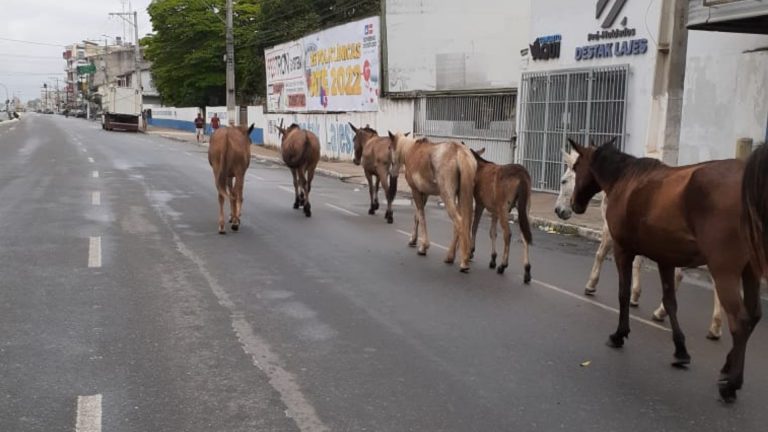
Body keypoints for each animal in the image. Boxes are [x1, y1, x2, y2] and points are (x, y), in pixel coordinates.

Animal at [388, 133, 476, 272]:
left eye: (389, 147)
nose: (392, 172)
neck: (410, 150)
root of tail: (459, 152)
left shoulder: (415, 190)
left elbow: (421, 215)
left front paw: (423, 247)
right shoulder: (425, 193)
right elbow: (417, 216)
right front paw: (413, 240)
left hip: (446, 194)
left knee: (459, 221)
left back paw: (463, 262)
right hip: (462, 194)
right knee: (463, 222)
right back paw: (451, 256)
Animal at [468, 148, 536, 284]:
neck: (479, 167)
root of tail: (522, 175)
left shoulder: (480, 203)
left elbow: (474, 227)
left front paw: (471, 251)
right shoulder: (495, 210)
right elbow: (492, 232)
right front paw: (493, 258)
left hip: (504, 207)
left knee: (507, 234)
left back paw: (503, 265)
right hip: (525, 207)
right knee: (525, 234)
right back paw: (526, 270)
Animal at [556, 150, 724, 340]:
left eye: (564, 180)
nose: (558, 211)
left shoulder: (612, 229)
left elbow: (601, 253)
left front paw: (591, 285)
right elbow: (638, 262)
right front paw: (635, 295)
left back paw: (663, 313)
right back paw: (714, 326)